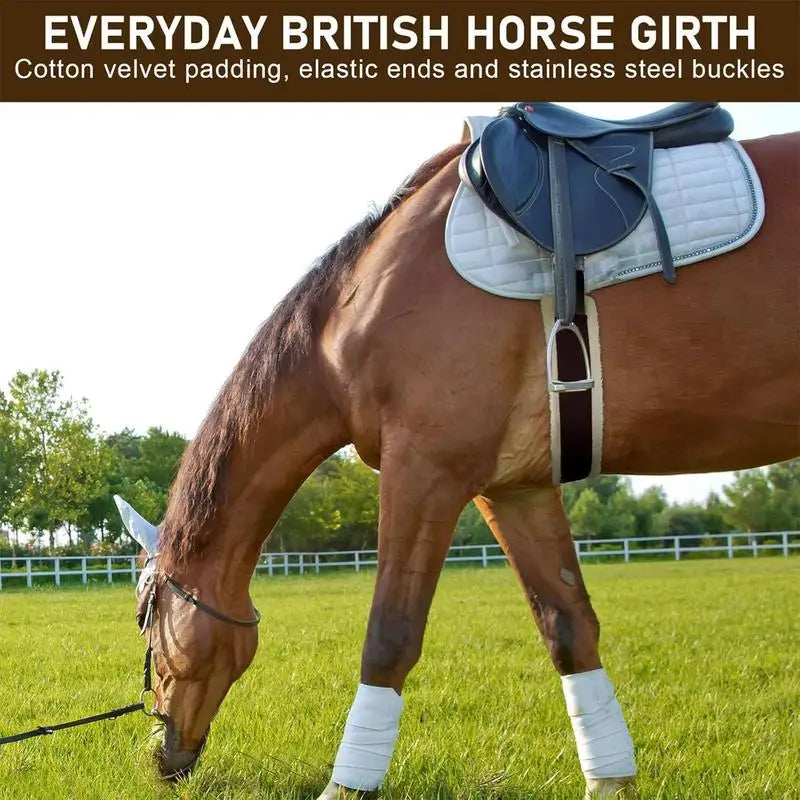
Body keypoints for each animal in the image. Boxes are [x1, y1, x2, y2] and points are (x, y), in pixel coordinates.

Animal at [118, 122, 799, 799]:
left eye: (146, 621)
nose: (160, 755)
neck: (355, 309)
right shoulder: (515, 489)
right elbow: (568, 626)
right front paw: (609, 779)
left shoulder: (425, 470)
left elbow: (389, 637)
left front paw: (346, 786)